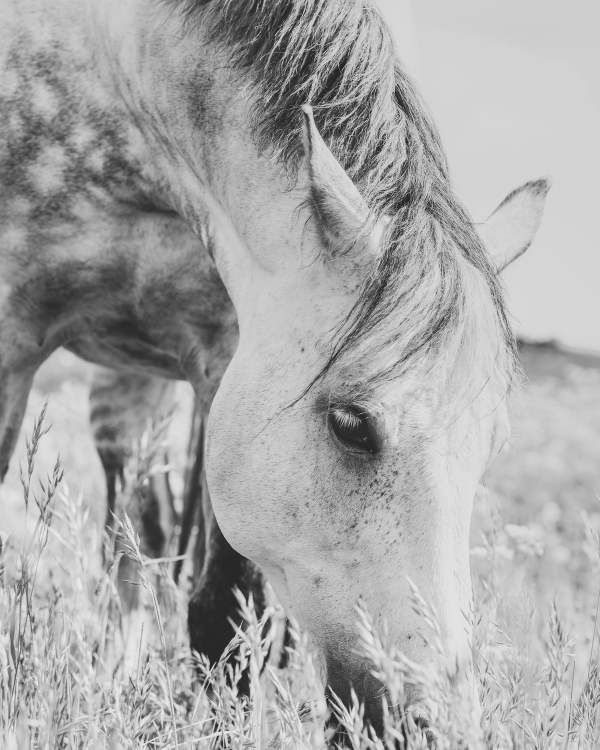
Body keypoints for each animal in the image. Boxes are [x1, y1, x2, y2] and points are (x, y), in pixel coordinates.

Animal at [0, 0, 550, 734]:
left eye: (491, 445)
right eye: (351, 424)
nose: (433, 723)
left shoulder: (225, 354)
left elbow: (223, 616)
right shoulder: (11, 334)